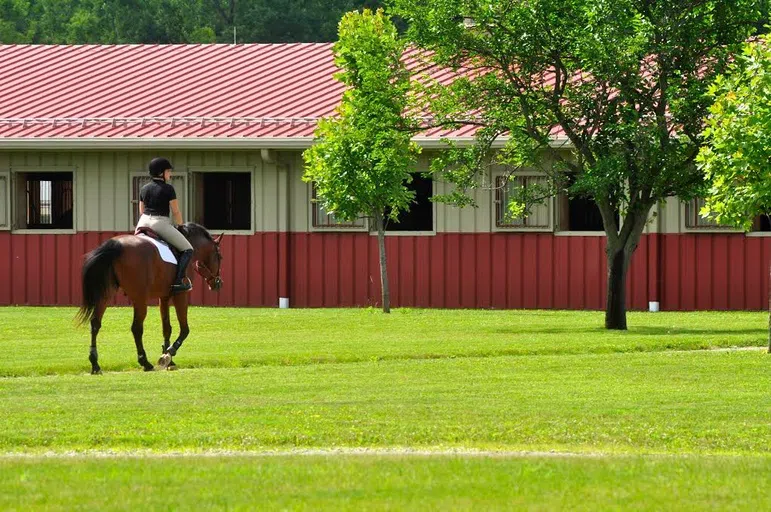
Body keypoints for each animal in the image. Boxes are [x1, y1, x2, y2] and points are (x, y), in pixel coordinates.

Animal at [76, 222, 223, 374]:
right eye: (220, 257)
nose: (218, 283)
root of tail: (116, 244)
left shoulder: (164, 296)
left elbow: (166, 328)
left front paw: (168, 358)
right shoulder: (180, 294)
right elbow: (185, 329)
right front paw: (169, 352)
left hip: (107, 294)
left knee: (95, 323)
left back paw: (95, 364)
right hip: (140, 298)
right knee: (136, 328)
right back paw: (145, 362)